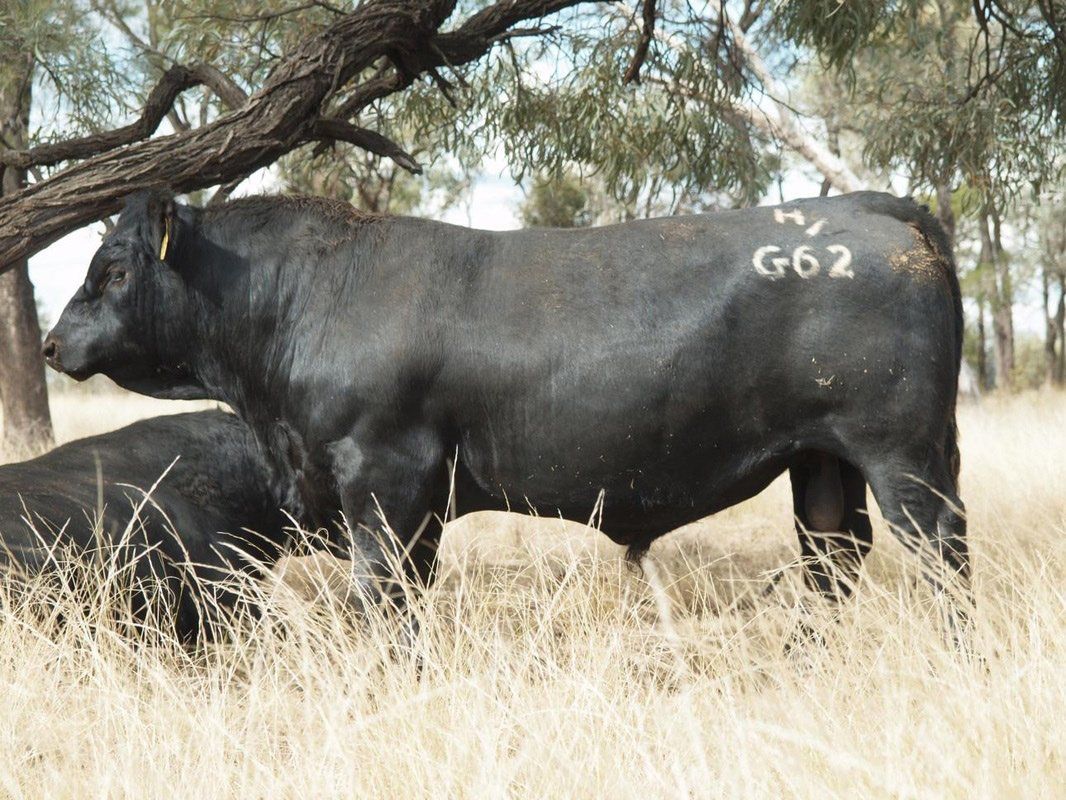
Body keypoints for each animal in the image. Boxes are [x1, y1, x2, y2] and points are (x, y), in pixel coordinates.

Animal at [43, 190, 969, 625]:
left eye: (114, 269)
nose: (53, 343)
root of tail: (870, 206)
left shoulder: (383, 477)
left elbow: (382, 596)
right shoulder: (415, 500)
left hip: (905, 455)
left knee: (941, 557)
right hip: (823, 460)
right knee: (833, 557)